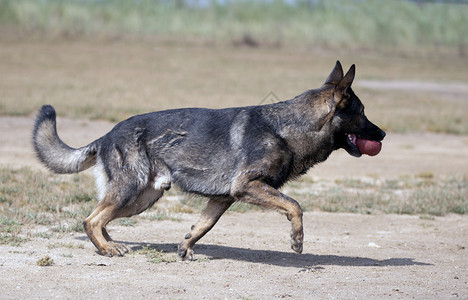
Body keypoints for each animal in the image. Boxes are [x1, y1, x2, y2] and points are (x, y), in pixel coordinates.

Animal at [32, 61, 384, 260]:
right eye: (364, 113)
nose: (383, 134)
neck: (289, 127)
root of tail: (107, 133)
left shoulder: (223, 198)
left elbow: (203, 226)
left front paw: (186, 248)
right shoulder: (247, 187)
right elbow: (294, 206)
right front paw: (297, 240)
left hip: (141, 199)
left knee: (100, 219)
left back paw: (108, 245)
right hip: (131, 191)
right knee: (91, 220)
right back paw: (106, 249)